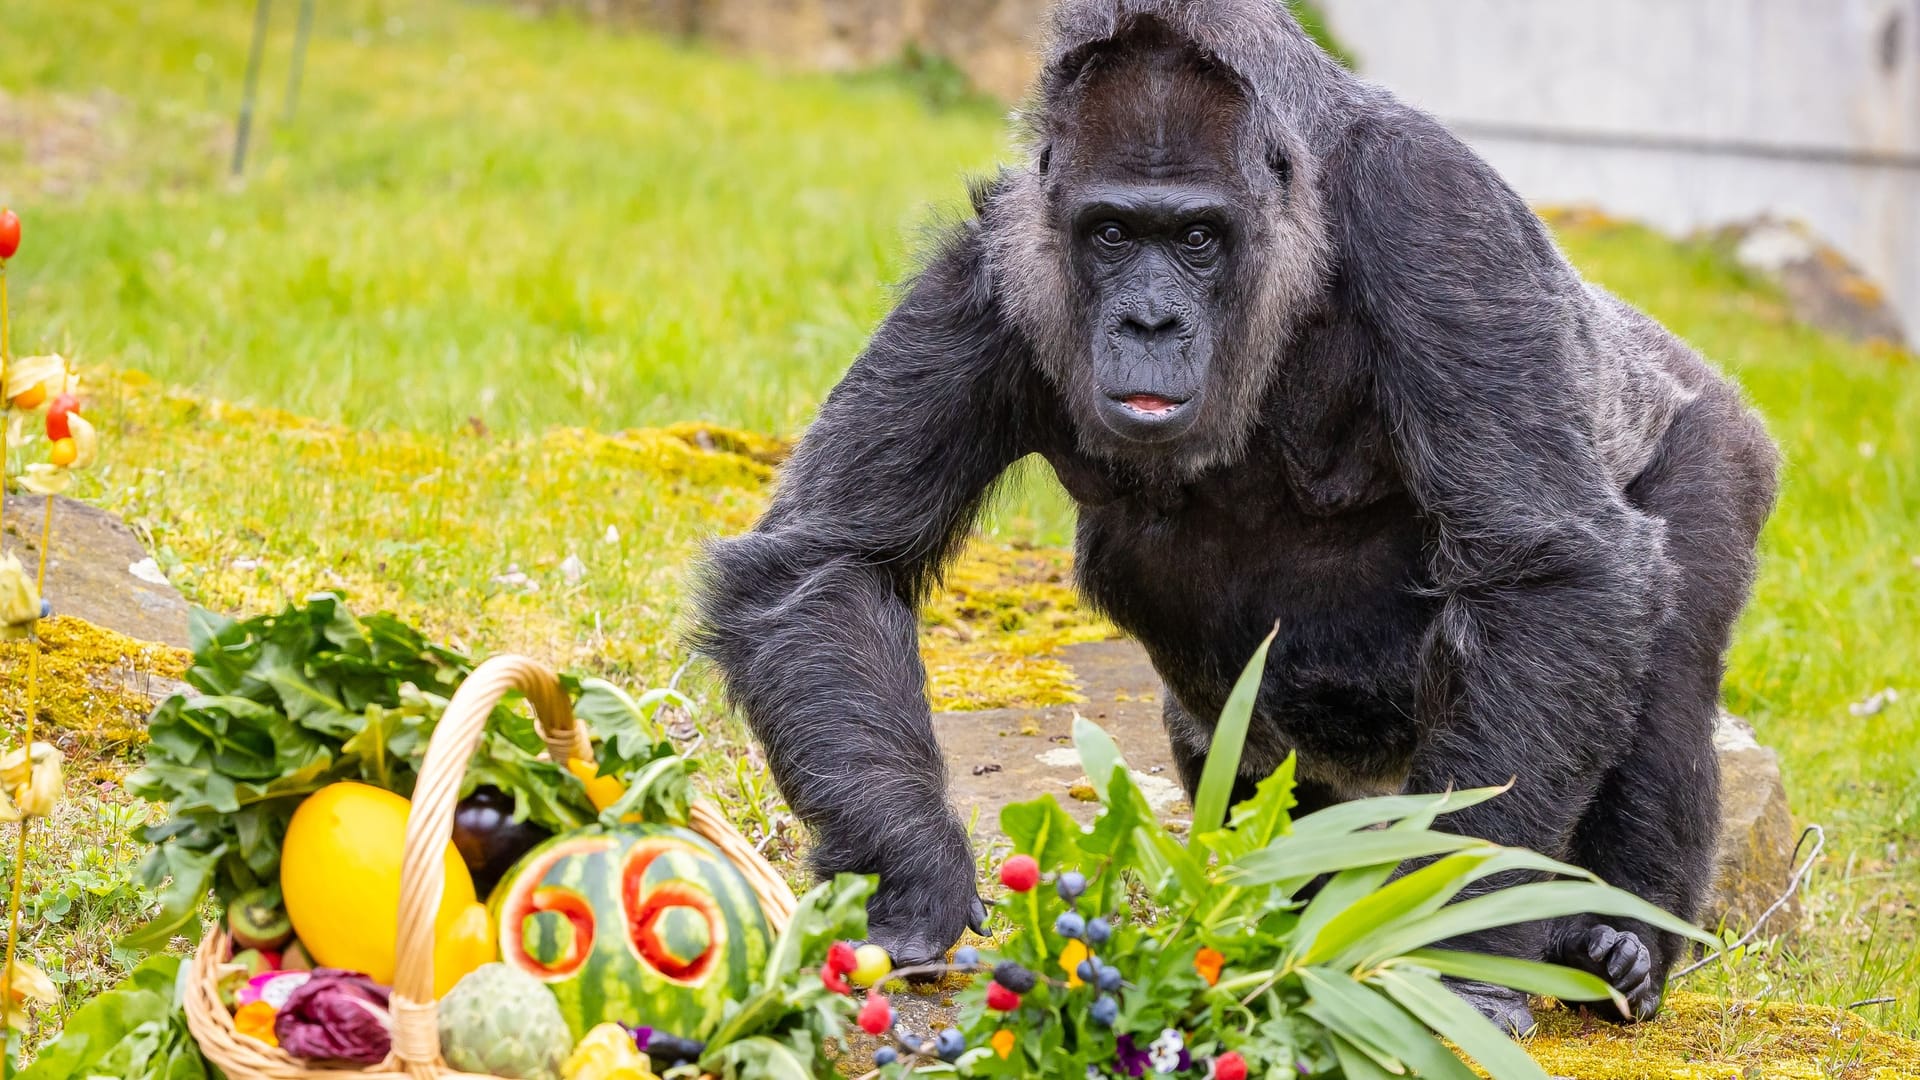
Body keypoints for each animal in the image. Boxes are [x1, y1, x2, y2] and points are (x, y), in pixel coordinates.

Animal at [698, 0, 1774, 1022]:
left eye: (1197, 237)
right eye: (1113, 233)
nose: (1150, 322)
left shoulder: (1431, 212)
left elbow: (1553, 570)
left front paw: (1452, 956)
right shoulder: (992, 263)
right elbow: (828, 562)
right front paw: (913, 873)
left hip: (1715, 436)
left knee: (1669, 673)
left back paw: (1616, 940)